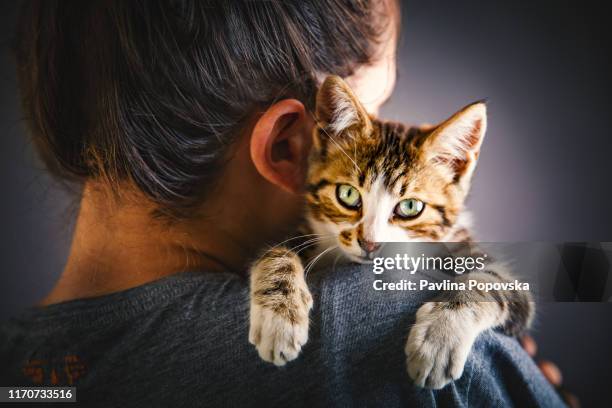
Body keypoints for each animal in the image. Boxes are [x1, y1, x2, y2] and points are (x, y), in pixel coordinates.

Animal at [247, 74, 532, 388]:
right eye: (348, 194)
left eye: (410, 207)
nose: (370, 244)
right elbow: (279, 250)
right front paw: (278, 316)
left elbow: (490, 282)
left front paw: (438, 337)